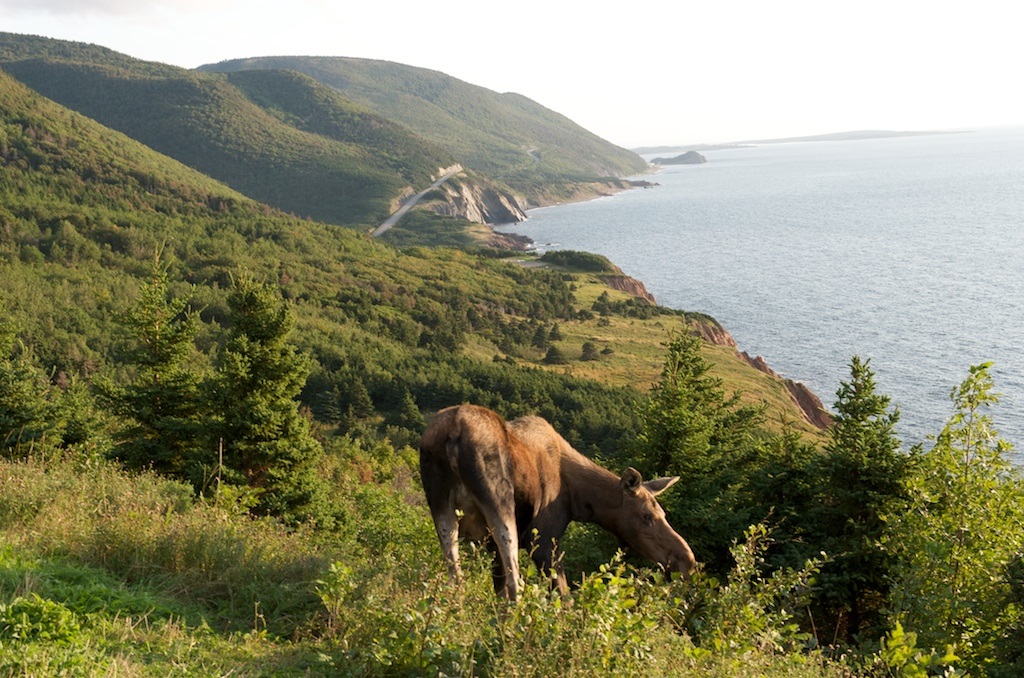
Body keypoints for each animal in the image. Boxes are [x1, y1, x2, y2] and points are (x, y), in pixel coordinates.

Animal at [417, 403, 696, 602]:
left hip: (442, 510)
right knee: (515, 583)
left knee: (455, 576)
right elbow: (564, 598)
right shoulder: (544, 540)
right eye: (647, 515)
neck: (577, 500)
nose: (687, 560)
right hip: (500, 508)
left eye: (663, 513)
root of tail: (453, 433)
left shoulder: (491, 547)